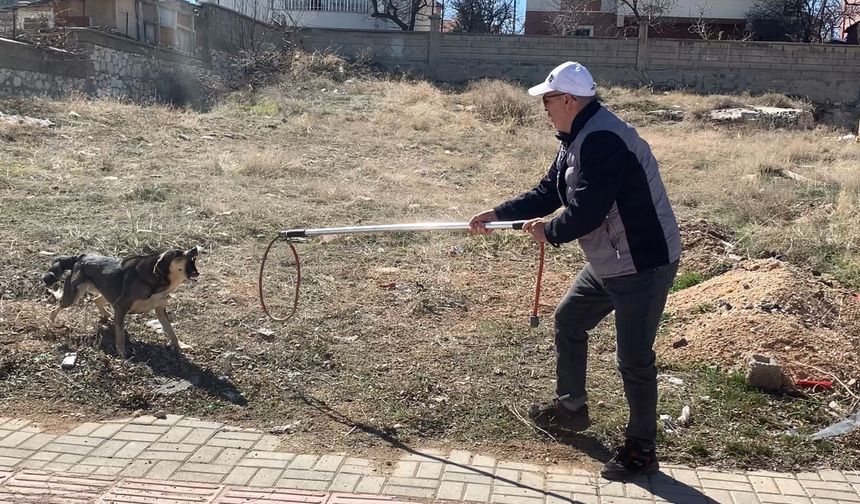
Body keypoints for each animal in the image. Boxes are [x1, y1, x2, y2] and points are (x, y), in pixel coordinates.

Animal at [42, 247, 201, 358]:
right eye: (178, 254)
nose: (195, 249)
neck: (158, 280)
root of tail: (82, 256)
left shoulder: (159, 309)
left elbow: (171, 331)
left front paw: (181, 346)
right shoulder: (121, 306)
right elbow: (120, 335)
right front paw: (122, 352)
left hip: (108, 292)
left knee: (96, 300)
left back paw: (107, 316)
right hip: (74, 296)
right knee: (54, 309)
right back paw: (51, 324)